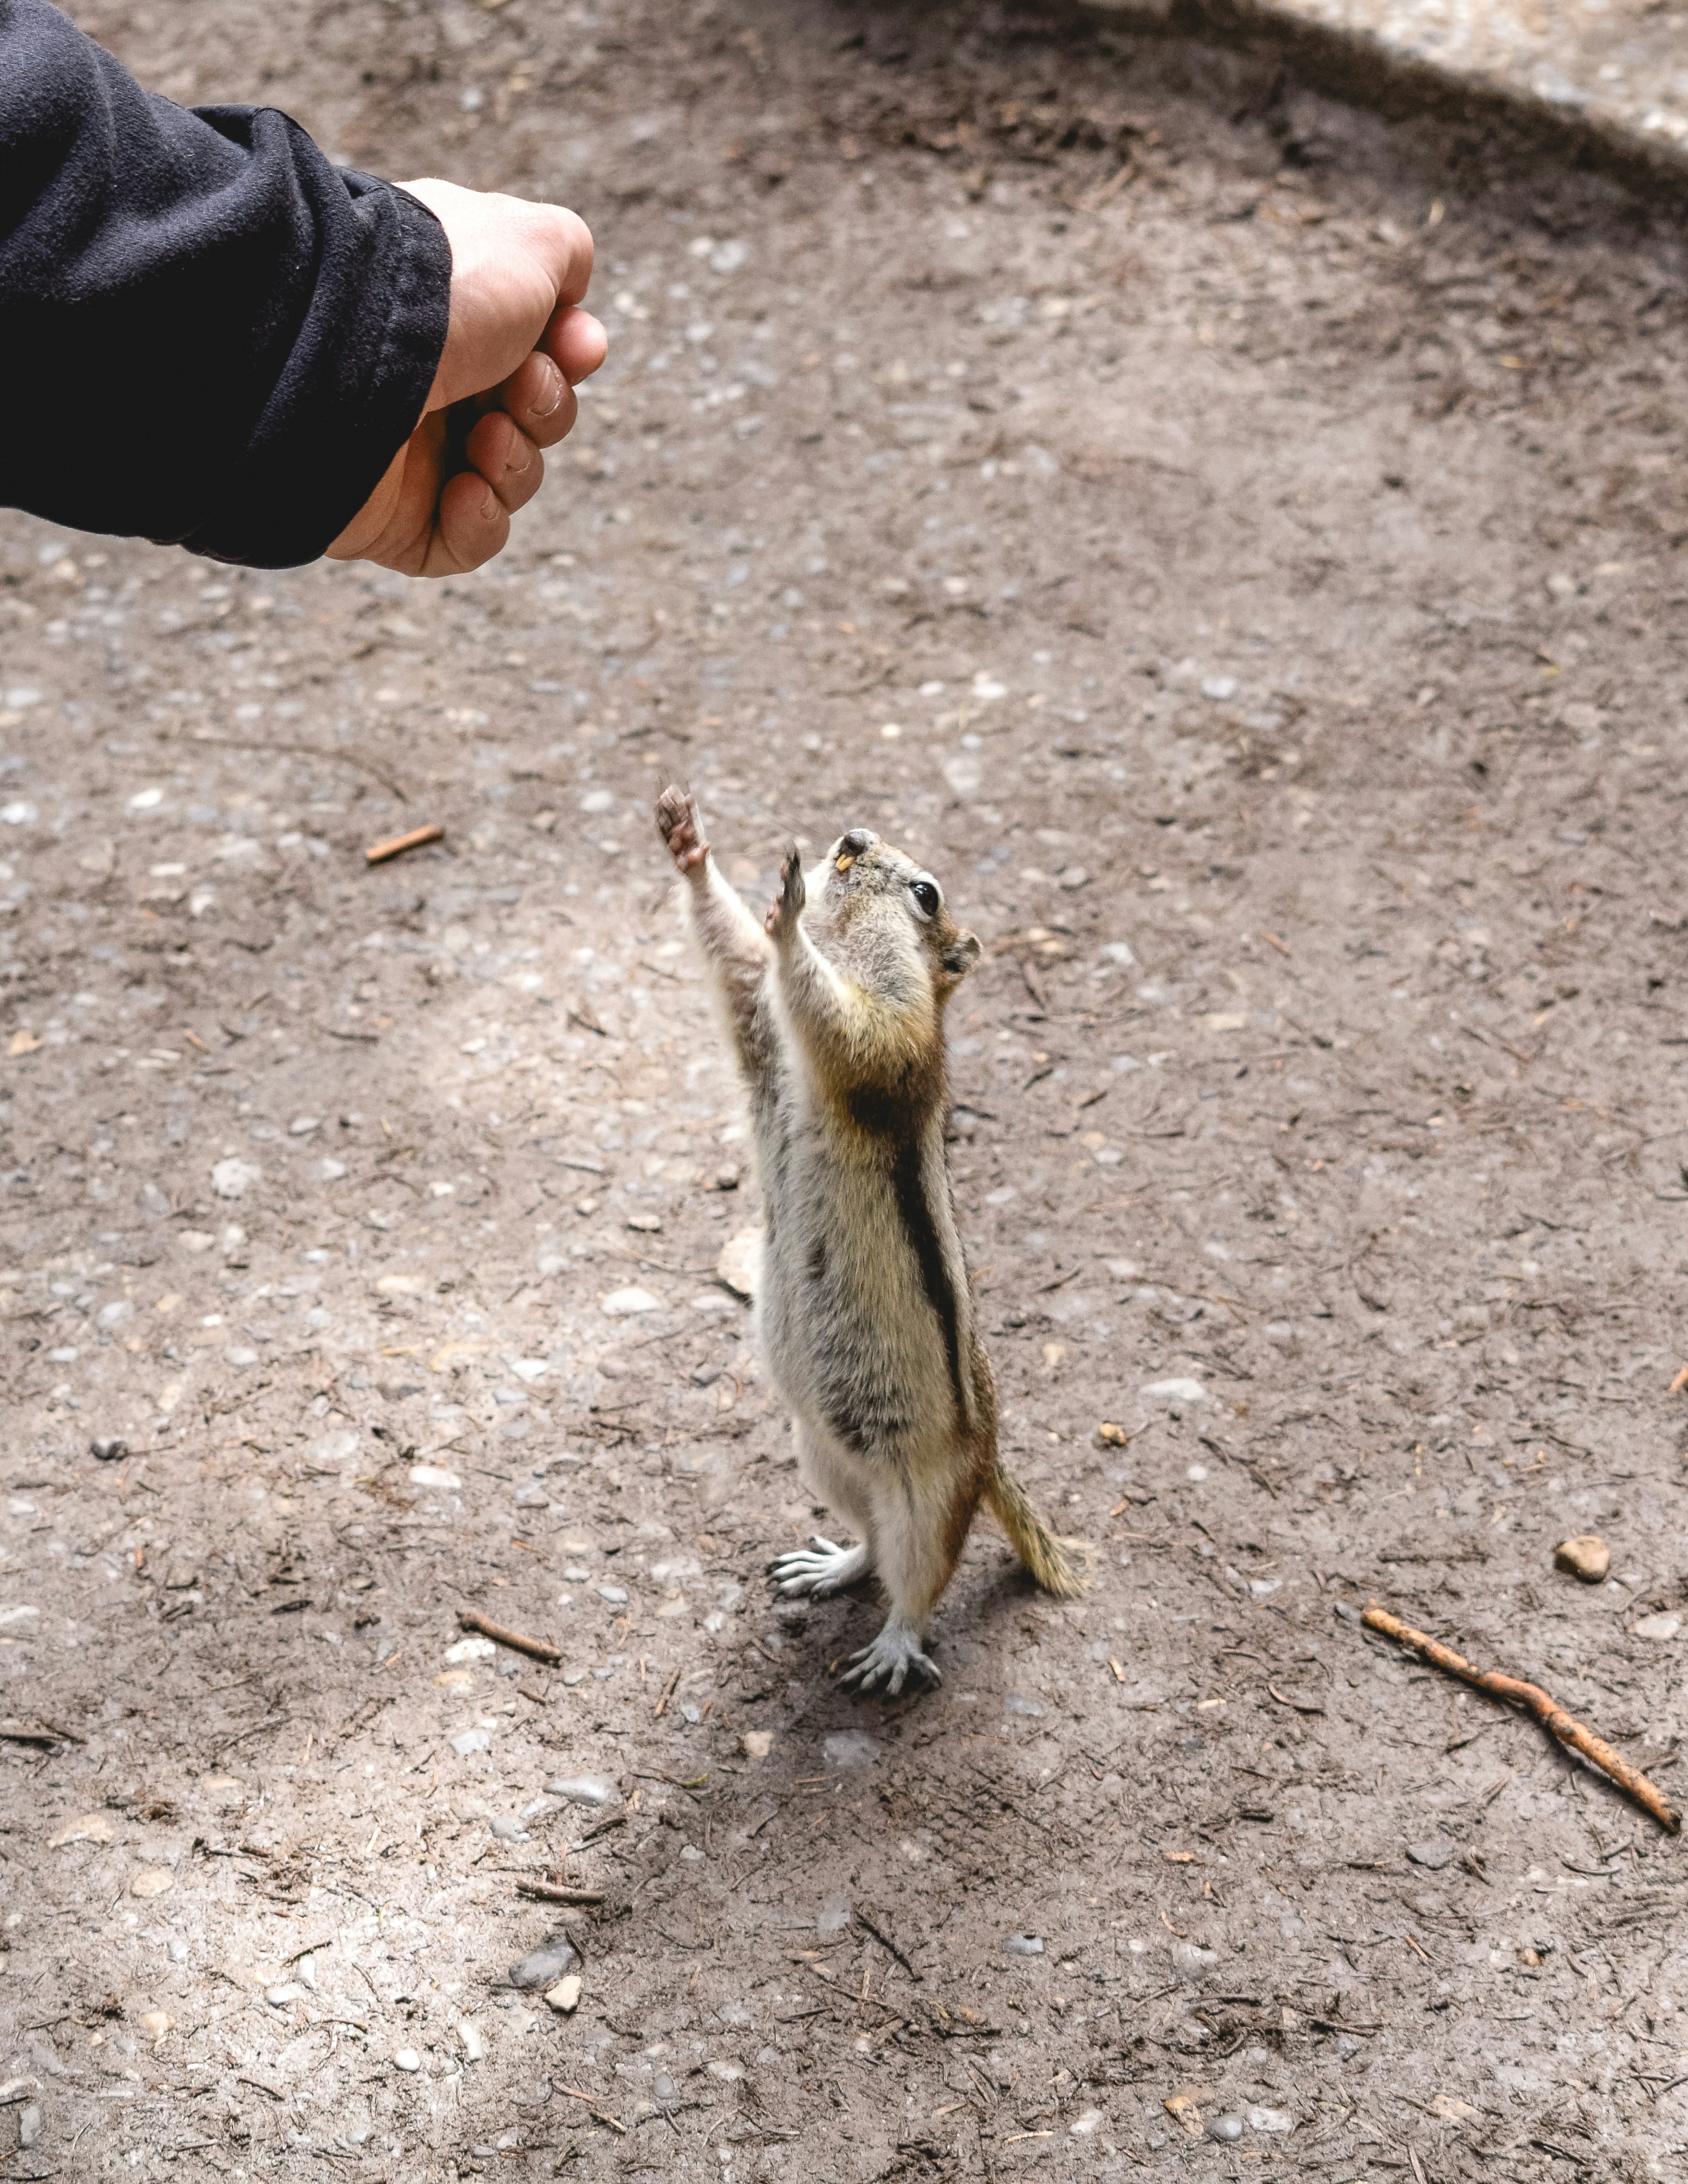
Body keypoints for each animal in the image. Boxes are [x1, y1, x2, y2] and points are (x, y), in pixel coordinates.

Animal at [655, 785, 1088, 1696]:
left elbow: (837, 1018)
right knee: (871, 1547)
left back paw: (893, 1647)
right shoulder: (765, 1037)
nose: (850, 839)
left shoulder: (890, 1045)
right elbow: (740, 970)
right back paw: (832, 1566)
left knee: (921, 1577)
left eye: (926, 893)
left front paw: (787, 916)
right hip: (822, 1457)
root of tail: (988, 1457)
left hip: (925, 1496)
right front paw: (689, 847)